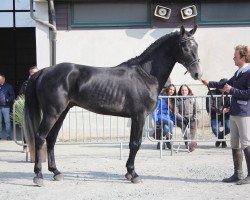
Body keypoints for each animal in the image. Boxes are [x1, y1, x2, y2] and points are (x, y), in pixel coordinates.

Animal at [23, 25, 201, 186]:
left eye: (197, 45)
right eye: (184, 46)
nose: (198, 73)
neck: (145, 75)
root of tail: (44, 71)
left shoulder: (136, 118)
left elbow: (132, 144)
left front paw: (129, 173)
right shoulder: (139, 116)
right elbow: (135, 144)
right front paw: (133, 174)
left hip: (62, 112)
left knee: (51, 139)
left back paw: (56, 172)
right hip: (52, 112)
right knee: (40, 137)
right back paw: (38, 176)